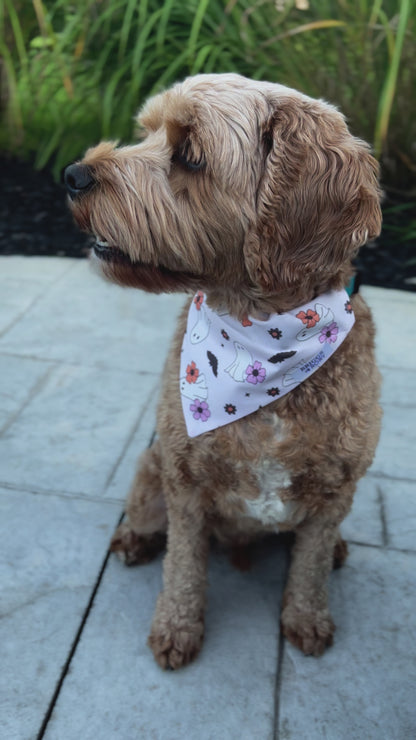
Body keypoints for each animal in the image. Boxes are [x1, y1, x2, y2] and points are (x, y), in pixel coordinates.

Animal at [64, 75, 380, 672]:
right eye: (147, 132)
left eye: (190, 155)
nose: (73, 175)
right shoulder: (185, 482)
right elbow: (183, 566)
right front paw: (176, 629)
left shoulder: (336, 490)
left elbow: (309, 566)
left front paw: (307, 620)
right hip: (151, 471)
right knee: (148, 521)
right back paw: (134, 541)